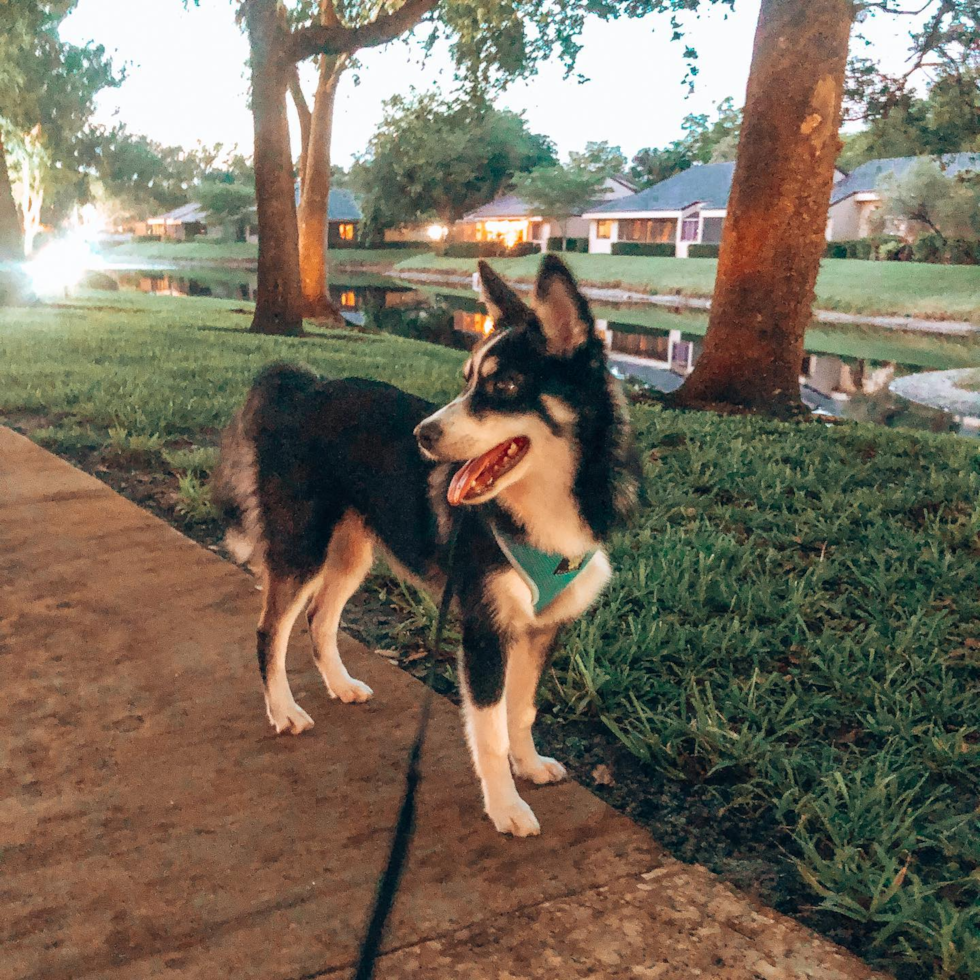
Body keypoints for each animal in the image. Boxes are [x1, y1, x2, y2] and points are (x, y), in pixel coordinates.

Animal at [213, 256, 640, 840]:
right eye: (467, 380)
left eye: (504, 384)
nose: (423, 434)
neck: (543, 507)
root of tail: (303, 389)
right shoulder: (484, 630)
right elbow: (490, 728)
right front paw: (505, 805)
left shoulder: (542, 629)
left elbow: (522, 710)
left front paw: (528, 765)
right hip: (303, 546)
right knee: (269, 632)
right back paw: (283, 710)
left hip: (351, 551)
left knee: (319, 618)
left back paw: (340, 684)